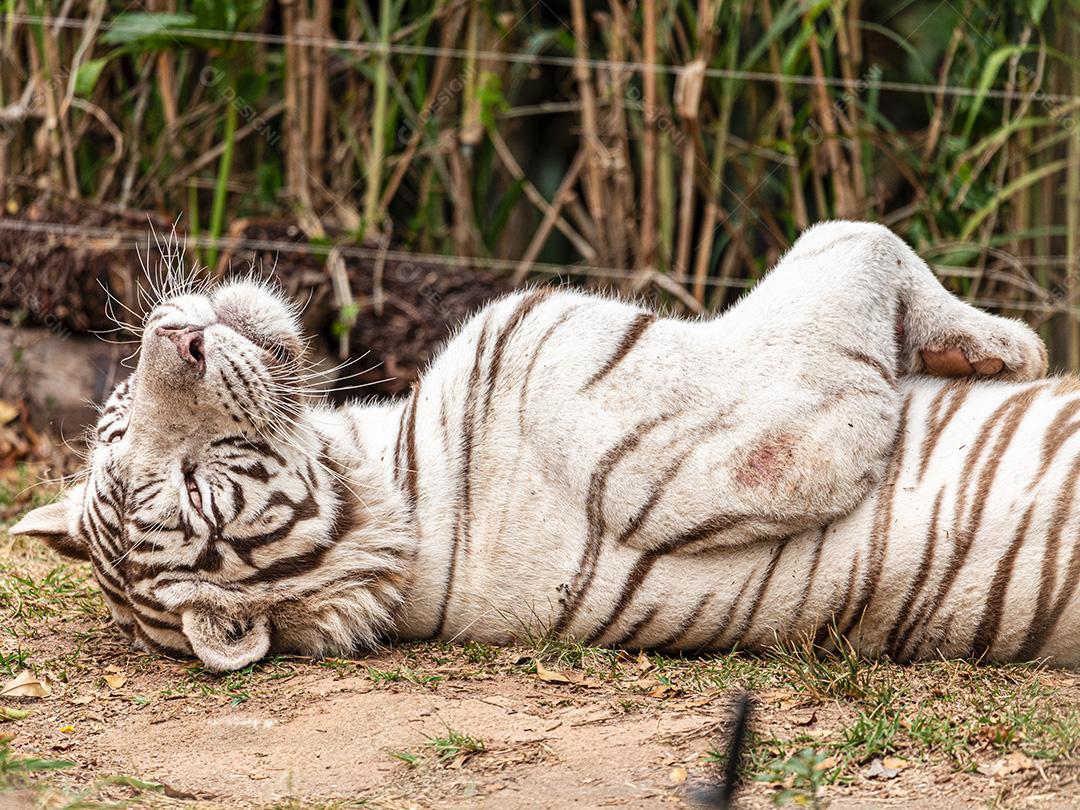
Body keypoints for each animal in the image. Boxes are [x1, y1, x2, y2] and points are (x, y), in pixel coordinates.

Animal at [12, 220, 1074, 673]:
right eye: (201, 488)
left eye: (120, 428)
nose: (176, 340)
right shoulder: (765, 416)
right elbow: (856, 242)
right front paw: (1011, 343)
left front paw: (993, 351)